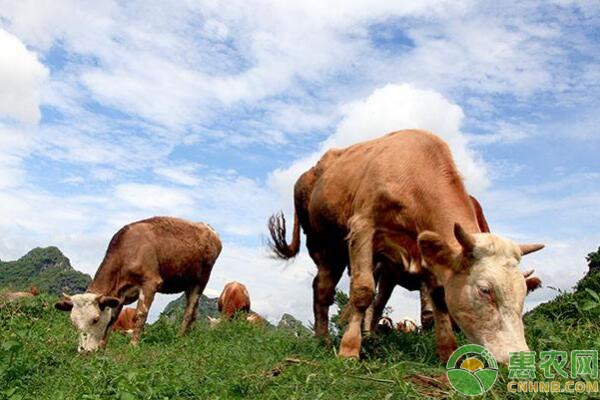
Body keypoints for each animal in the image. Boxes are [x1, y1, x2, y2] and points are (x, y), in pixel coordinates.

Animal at [54, 217, 220, 352]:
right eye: (73, 322)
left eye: (95, 319)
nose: (83, 351)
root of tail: (209, 228)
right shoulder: (119, 294)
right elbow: (112, 318)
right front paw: (102, 347)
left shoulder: (150, 283)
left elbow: (140, 314)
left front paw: (133, 345)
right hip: (188, 283)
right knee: (195, 310)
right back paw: (188, 336)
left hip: (201, 281)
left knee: (189, 311)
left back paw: (179, 338)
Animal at [270, 130, 548, 362]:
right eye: (485, 290)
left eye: (524, 293)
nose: (517, 355)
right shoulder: (363, 227)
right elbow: (362, 291)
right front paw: (349, 349)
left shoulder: (427, 249)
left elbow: (438, 299)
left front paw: (448, 352)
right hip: (325, 246)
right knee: (323, 290)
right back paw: (324, 340)